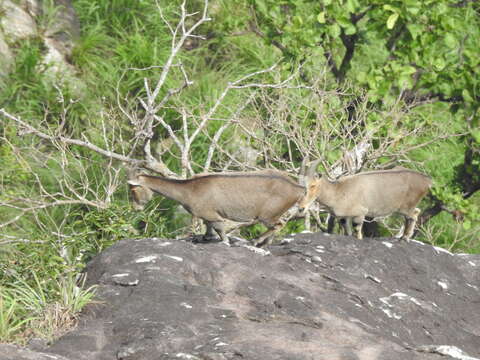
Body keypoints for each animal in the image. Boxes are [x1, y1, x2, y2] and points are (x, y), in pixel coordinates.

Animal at [124, 172, 304, 246]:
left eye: (133, 190)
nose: (136, 208)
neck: (188, 191)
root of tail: (298, 189)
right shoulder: (207, 217)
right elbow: (208, 229)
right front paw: (203, 238)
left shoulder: (211, 214)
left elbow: (220, 230)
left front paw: (224, 241)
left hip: (267, 214)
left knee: (278, 224)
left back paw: (256, 241)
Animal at [300, 165, 432, 240]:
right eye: (301, 184)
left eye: (313, 185)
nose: (301, 207)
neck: (338, 190)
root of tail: (427, 180)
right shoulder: (344, 218)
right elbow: (348, 232)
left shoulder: (360, 213)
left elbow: (357, 232)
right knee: (414, 213)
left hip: (405, 208)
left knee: (414, 214)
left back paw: (405, 237)